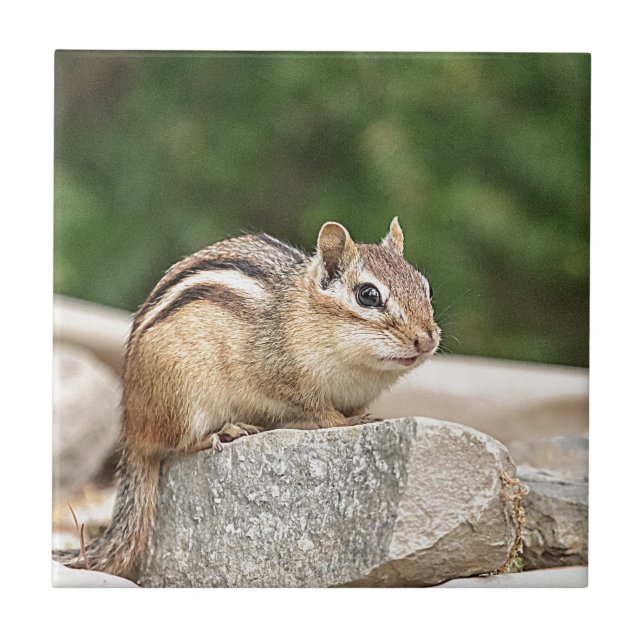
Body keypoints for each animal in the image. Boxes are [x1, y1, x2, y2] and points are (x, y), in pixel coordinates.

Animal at [53, 218, 440, 580]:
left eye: (425, 287)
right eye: (368, 296)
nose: (426, 340)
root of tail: (132, 430)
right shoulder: (281, 377)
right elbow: (320, 412)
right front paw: (348, 420)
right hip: (184, 397)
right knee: (177, 445)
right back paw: (224, 432)